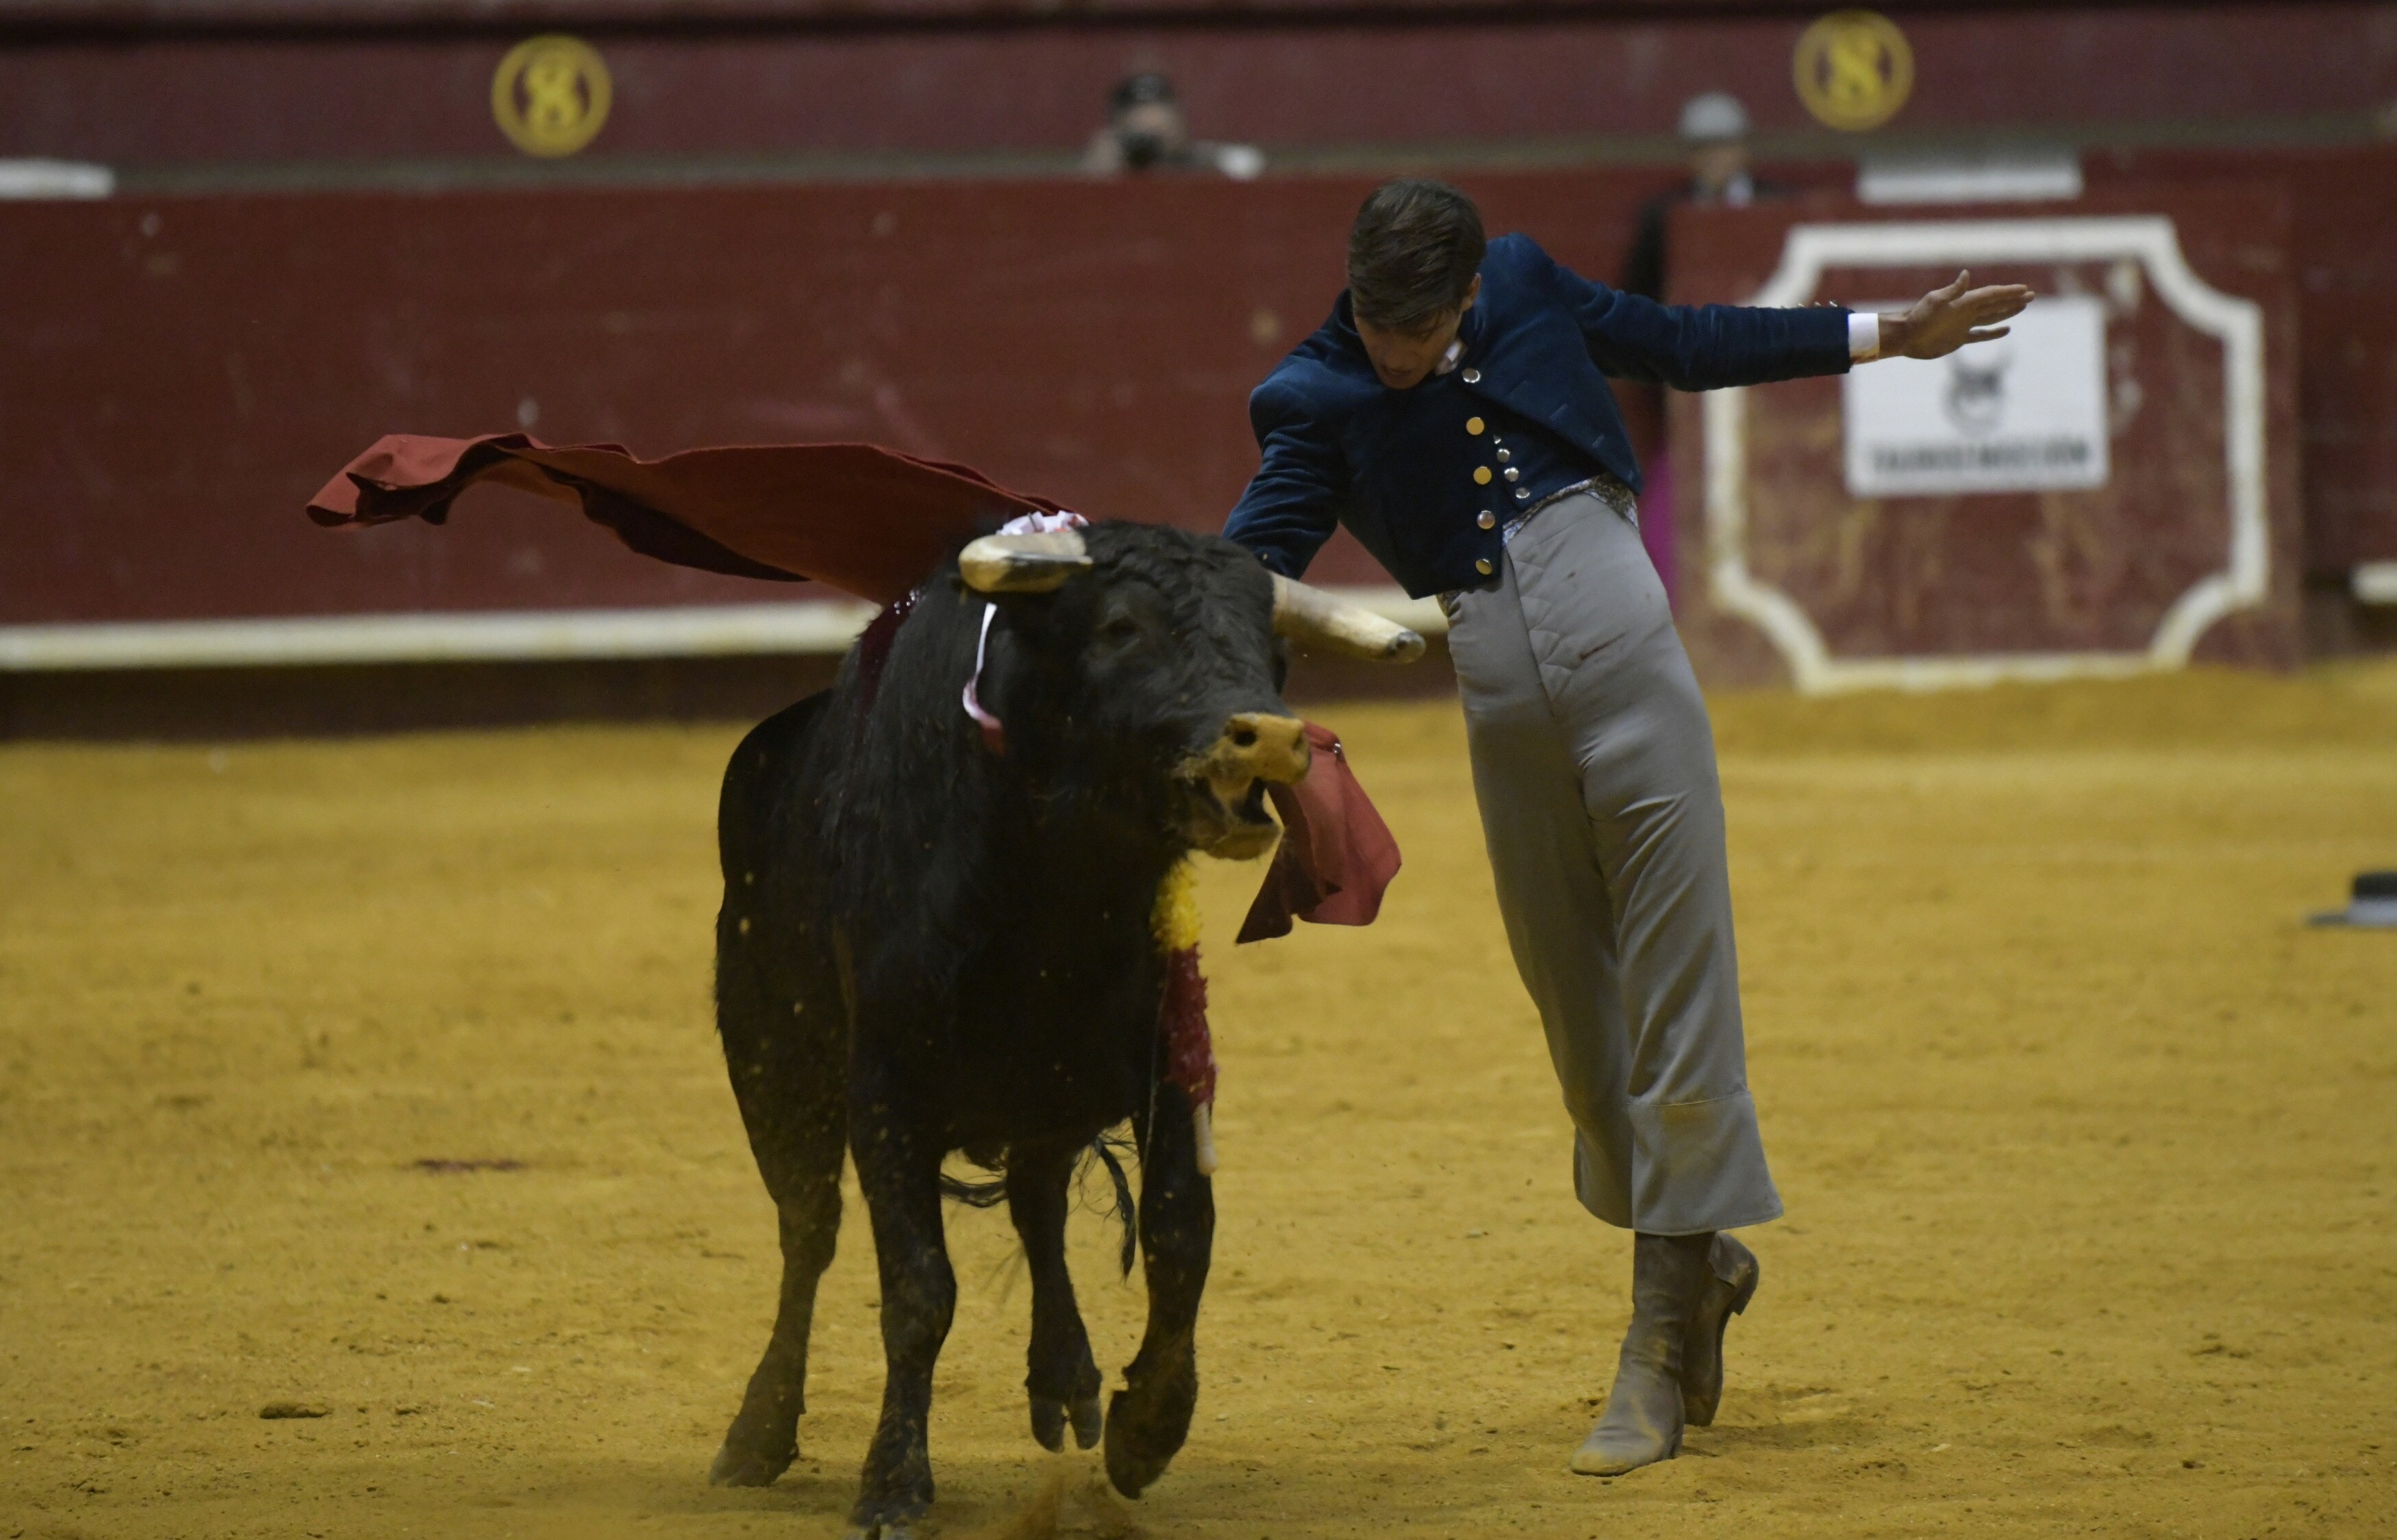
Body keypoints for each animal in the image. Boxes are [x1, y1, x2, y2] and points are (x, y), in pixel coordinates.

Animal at [700, 524, 1409, 1532]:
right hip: (774, 1066)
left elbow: (1180, 1234)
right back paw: (757, 1430)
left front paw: (1148, 1428)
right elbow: (918, 1288)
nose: (1268, 734)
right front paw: (892, 1483)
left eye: (1272, 645)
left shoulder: (1161, 1067)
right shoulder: (887, 1095)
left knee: (1037, 1206)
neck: (1052, 890)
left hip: (1039, 1098)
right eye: (1119, 628)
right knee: (808, 1235)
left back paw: (1065, 1379)